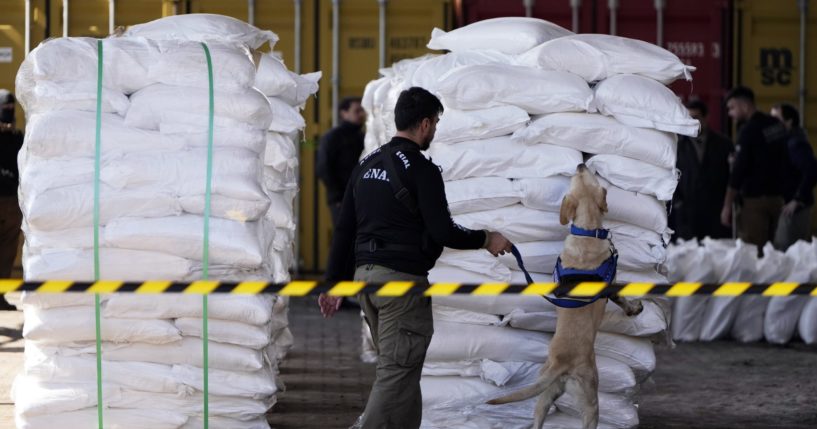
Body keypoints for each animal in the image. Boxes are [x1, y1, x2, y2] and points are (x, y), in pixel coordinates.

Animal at [488, 164, 640, 428]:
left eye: (581, 176)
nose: (581, 164)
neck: (587, 233)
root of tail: (562, 363)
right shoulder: (612, 283)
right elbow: (622, 298)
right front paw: (634, 308)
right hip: (591, 400)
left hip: (545, 394)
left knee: (538, 417)